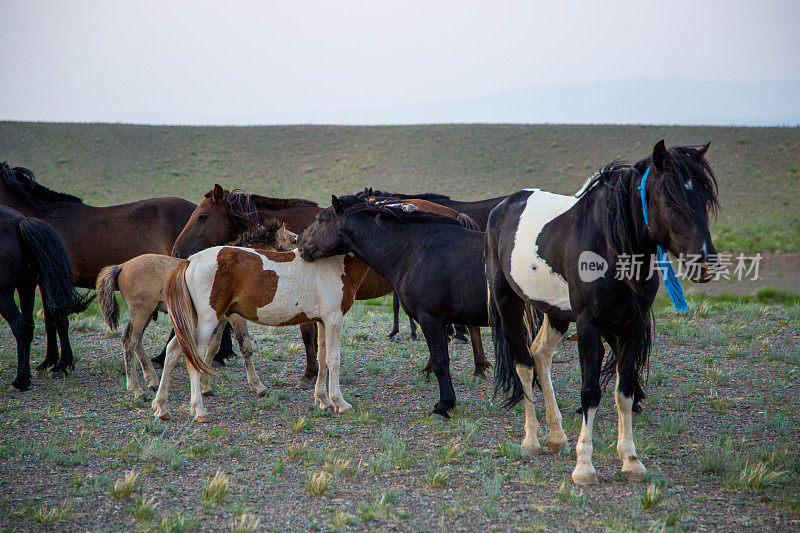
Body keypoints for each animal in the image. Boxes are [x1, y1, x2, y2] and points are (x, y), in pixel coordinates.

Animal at [0, 206, 92, 388]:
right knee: (31, 325)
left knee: (21, 326)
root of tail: (19, 222)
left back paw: (22, 379)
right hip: (26, 286)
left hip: (4, 293)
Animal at [97, 218, 296, 396]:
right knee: (129, 341)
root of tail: (122, 266)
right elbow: (245, 345)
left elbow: (213, 346)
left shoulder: (221, 318)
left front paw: (205, 385)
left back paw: (152, 381)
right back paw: (136, 389)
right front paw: (258, 386)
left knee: (136, 341)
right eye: (293, 240)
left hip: (146, 314)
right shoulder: (235, 317)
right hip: (141, 312)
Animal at [153, 243, 368, 422]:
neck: (333, 265)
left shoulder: (322, 322)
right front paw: (340, 403)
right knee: (193, 358)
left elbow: (322, 358)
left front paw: (324, 401)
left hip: (193, 322)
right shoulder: (334, 319)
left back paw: (162, 407)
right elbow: (333, 360)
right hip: (207, 321)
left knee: (173, 351)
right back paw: (199, 410)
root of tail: (191, 260)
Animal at [298, 193, 490, 418]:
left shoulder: (431, 320)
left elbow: (441, 362)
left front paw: (444, 405)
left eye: (319, 219)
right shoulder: (439, 322)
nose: (298, 242)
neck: (414, 251)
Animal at [484, 140, 720, 482]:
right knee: (524, 364)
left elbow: (624, 391)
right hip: (508, 304)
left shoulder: (632, 326)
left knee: (540, 354)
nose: (705, 263)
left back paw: (556, 436)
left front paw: (631, 460)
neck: (610, 244)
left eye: (704, 197)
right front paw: (584, 467)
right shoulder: (589, 325)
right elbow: (590, 392)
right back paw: (531, 440)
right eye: (669, 197)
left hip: (556, 313)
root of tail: (502, 207)